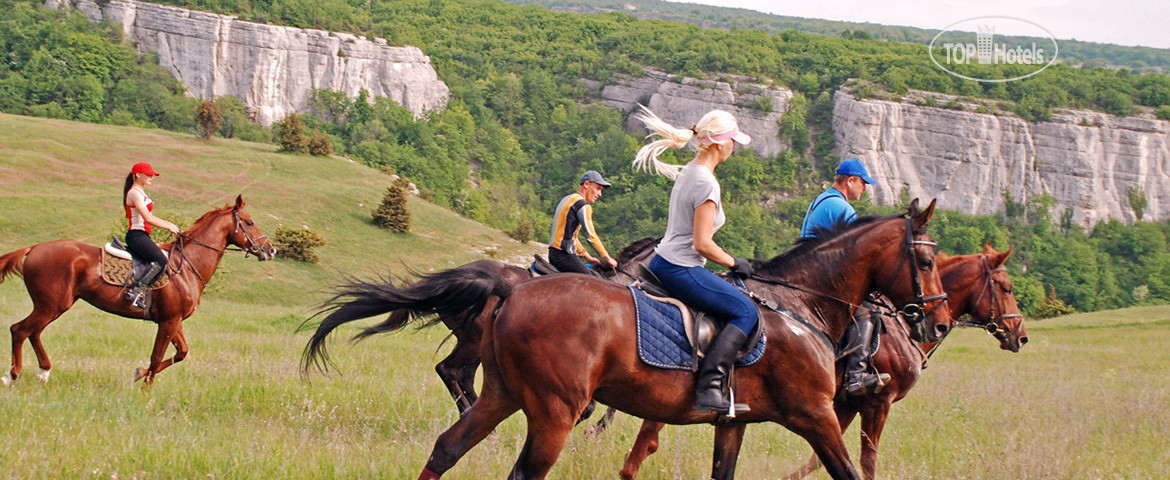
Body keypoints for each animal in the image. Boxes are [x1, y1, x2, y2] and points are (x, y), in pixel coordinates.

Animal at [0, 195, 274, 386]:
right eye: (249, 222)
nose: (271, 250)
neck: (187, 266)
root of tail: (34, 249)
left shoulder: (174, 321)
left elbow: (181, 353)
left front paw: (139, 374)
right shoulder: (168, 321)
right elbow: (157, 357)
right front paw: (145, 390)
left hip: (53, 306)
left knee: (33, 332)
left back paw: (43, 372)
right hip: (51, 305)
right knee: (20, 330)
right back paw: (12, 375)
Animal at [308, 200, 950, 479]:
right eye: (925, 260)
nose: (936, 323)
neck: (801, 306)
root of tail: (513, 292)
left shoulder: (735, 422)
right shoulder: (815, 415)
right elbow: (850, 469)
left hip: (504, 395)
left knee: (448, 445)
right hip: (553, 411)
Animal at [617, 243, 1029, 479]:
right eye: (1007, 288)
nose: (1020, 335)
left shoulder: (838, 405)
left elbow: (821, 458)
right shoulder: (874, 403)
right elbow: (866, 459)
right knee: (653, 425)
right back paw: (629, 467)